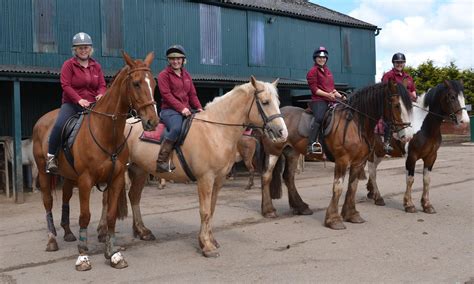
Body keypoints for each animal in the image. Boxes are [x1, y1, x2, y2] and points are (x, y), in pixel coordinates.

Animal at [32, 51, 161, 270]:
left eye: (152, 83)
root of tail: (42, 120)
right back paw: (52, 240)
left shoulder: (115, 179)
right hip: (43, 172)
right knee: (47, 202)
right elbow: (85, 217)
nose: (153, 121)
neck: (107, 131)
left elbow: (111, 216)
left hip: (69, 177)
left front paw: (114, 254)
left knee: (65, 198)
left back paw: (68, 232)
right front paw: (83, 256)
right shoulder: (85, 181)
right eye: (136, 83)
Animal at [98, 77, 286, 258]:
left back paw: (142, 231)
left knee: (134, 196)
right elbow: (204, 211)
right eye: (265, 102)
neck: (215, 130)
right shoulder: (205, 179)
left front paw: (210, 240)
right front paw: (207, 246)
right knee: (107, 199)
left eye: (278, 101)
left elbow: (212, 209)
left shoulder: (218, 180)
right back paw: (103, 232)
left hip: (140, 170)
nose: (282, 132)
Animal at [258, 80, 412, 229]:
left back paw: (300, 207)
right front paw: (333, 220)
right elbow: (338, 187)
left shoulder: (359, 162)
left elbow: (353, 187)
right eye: (397, 105)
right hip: (274, 152)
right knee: (266, 176)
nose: (407, 136)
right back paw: (268, 210)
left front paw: (351, 215)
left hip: (292, 153)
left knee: (288, 177)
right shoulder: (342, 161)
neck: (356, 123)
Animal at [364, 79, 468, 212]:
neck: (426, 128)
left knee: (373, 169)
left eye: (463, 97)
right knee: (372, 171)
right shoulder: (411, 157)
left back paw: (372, 192)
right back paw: (378, 197)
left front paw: (427, 205)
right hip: (374, 152)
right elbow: (410, 179)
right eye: (452, 97)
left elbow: (427, 180)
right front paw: (409, 204)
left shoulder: (431, 156)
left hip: (380, 153)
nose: (465, 122)